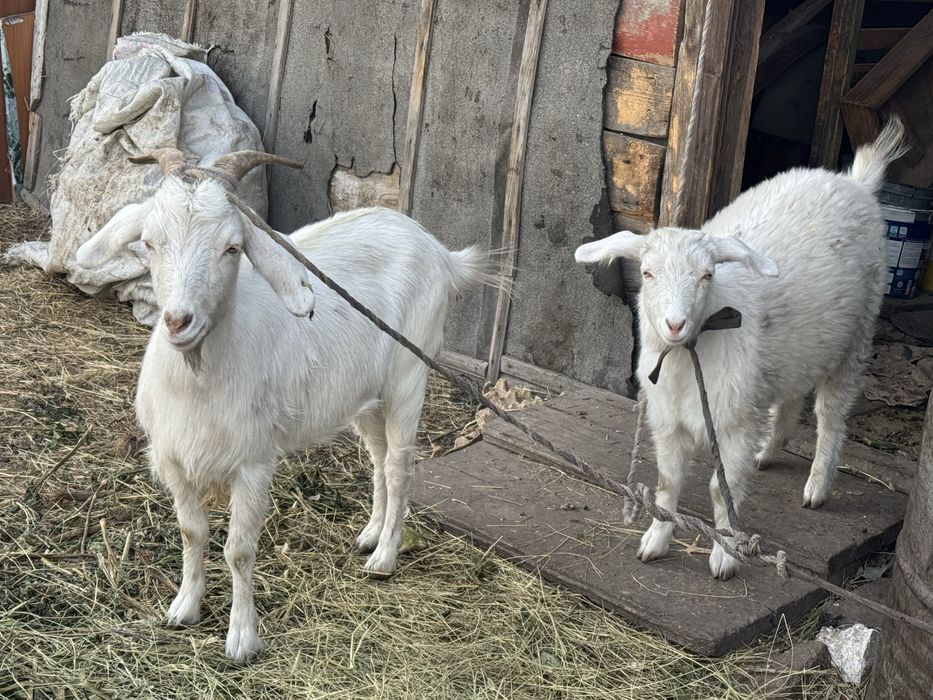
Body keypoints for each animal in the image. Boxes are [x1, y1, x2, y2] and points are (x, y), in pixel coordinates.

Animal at [76, 149, 492, 662]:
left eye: (232, 248)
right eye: (149, 243)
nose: (177, 321)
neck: (199, 378)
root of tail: (440, 252)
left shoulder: (253, 463)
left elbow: (238, 550)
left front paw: (241, 638)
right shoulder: (173, 459)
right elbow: (192, 533)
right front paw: (183, 609)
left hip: (409, 375)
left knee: (399, 467)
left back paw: (384, 557)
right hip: (365, 396)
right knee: (378, 460)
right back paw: (369, 535)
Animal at [574, 118, 906, 580]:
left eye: (707, 275)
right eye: (647, 272)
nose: (674, 324)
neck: (688, 359)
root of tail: (852, 181)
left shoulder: (733, 424)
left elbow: (721, 490)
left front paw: (726, 554)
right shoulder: (667, 420)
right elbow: (667, 483)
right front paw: (655, 541)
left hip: (856, 338)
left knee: (830, 415)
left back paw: (817, 486)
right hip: (793, 353)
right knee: (790, 397)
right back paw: (768, 452)